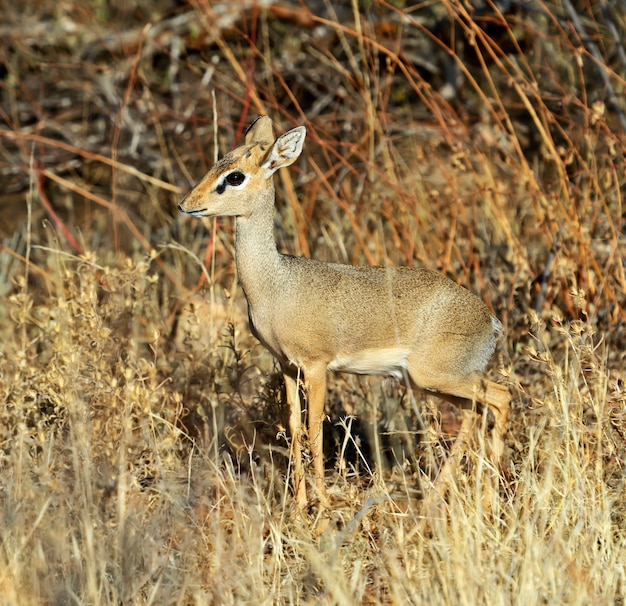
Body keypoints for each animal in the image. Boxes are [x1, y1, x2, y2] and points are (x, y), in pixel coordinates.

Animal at [178, 117, 510, 508]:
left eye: (234, 176)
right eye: (219, 161)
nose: (186, 204)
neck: (276, 285)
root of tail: (490, 321)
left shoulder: (316, 365)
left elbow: (314, 428)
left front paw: (321, 505)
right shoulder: (286, 365)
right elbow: (294, 428)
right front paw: (299, 506)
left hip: (440, 377)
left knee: (502, 398)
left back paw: (490, 493)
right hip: (433, 382)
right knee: (477, 412)